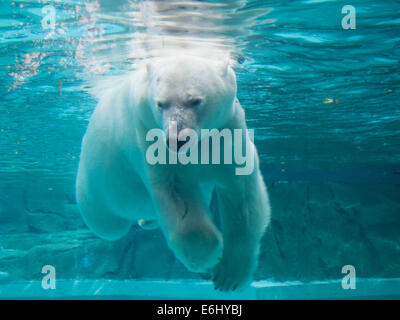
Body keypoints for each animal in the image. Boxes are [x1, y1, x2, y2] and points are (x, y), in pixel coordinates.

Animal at [76, 54, 270, 290]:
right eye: (160, 104)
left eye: (195, 101)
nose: (176, 140)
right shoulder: (148, 133)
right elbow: (176, 192)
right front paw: (206, 258)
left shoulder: (227, 130)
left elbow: (242, 196)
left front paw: (230, 275)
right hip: (94, 188)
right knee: (110, 226)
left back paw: (147, 221)